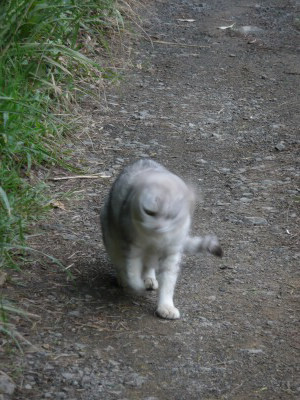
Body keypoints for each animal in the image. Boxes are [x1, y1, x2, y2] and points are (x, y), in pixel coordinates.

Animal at [101, 159, 223, 318]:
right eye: (149, 212)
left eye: (171, 215)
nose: (157, 226)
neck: (156, 238)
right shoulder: (132, 246)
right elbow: (132, 271)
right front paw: (136, 283)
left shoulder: (172, 252)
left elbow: (168, 282)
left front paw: (166, 306)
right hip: (111, 237)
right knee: (120, 262)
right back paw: (124, 279)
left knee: (148, 265)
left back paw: (149, 279)